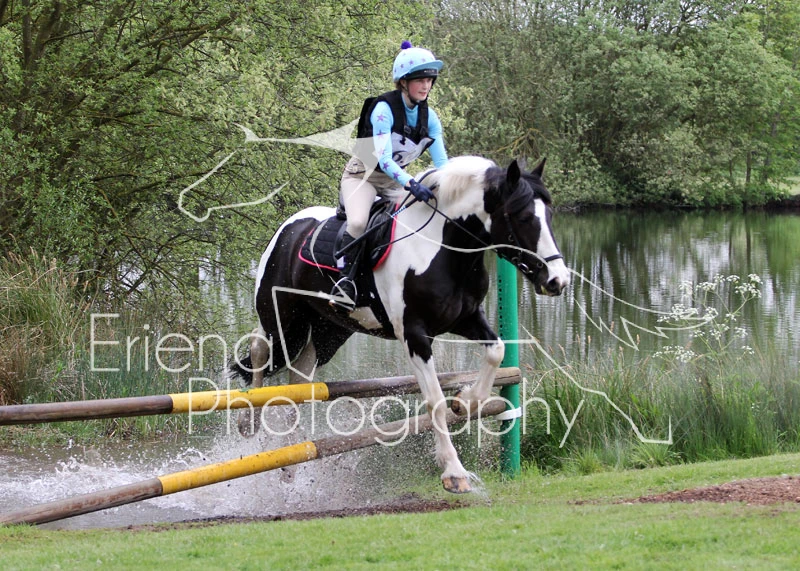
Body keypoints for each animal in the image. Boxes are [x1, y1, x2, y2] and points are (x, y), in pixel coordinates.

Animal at [230, 155, 570, 493]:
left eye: (550, 215)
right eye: (523, 217)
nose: (558, 281)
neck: (441, 250)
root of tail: (289, 226)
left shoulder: (466, 319)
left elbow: (496, 352)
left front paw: (465, 402)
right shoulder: (415, 335)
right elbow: (434, 401)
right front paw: (454, 472)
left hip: (329, 330)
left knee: (299, 377)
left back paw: (288, 465)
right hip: (280, 314)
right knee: (260, 350)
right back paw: (249, 423)